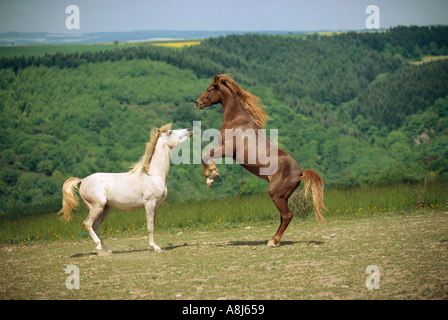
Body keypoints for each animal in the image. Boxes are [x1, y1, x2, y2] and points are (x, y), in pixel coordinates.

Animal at [57, 124, 192, 256]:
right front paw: (155, 248)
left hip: (105, 209)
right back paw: (99, 248)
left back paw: (107, 250)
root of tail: (83, 180)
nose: (190, 130)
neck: (153, 174)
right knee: (87, 224)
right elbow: (150, 227)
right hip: (97, 206)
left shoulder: (156, 205)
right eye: (170, 132)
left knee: (95, 226)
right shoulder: (149, 203)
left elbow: (153, 225)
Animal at [194, 74, 328, 248]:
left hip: (276, 194)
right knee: (283, 217)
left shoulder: (227, 150)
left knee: (287, 215)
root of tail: (301, 172)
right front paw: (213, 176)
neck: (236, 121)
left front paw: (212, 178)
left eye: (209, 89)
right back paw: (273, 240)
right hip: (283, 197)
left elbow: (205, 154)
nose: (197, 102)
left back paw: (273, 242)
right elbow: (205, 154)